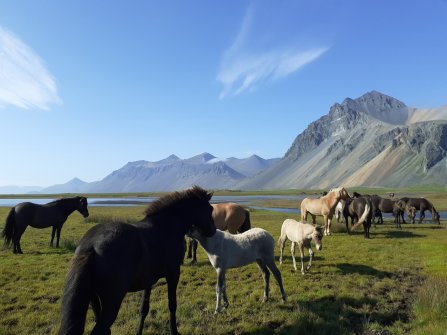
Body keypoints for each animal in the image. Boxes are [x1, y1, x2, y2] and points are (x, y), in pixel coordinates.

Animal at [58, 186, 217, 335]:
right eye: (210, 209)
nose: (213, 231)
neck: (166, 227)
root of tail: (91, 245)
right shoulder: (173, 274)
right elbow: (172, 304)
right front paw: (174, 331)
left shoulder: (149, 280)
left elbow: (144, 308)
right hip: (112, 301)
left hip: (95, 299)